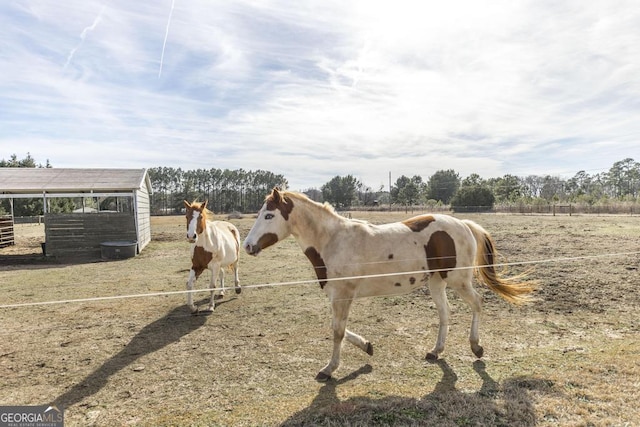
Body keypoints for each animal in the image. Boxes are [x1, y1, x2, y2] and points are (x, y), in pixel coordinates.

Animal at [244, 189, 536, 382]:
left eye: (268, 215)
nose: (247, 246)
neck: (333, 240)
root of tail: (463, 224)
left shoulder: (343, 294)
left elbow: (337, 331)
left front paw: (329, 369)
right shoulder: (336, 295)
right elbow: (340, 329)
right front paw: (367, 346)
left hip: (458, 280)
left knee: (477, 303)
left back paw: (476, 347)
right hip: (437, 282)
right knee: (445, 313)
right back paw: (435, 351)